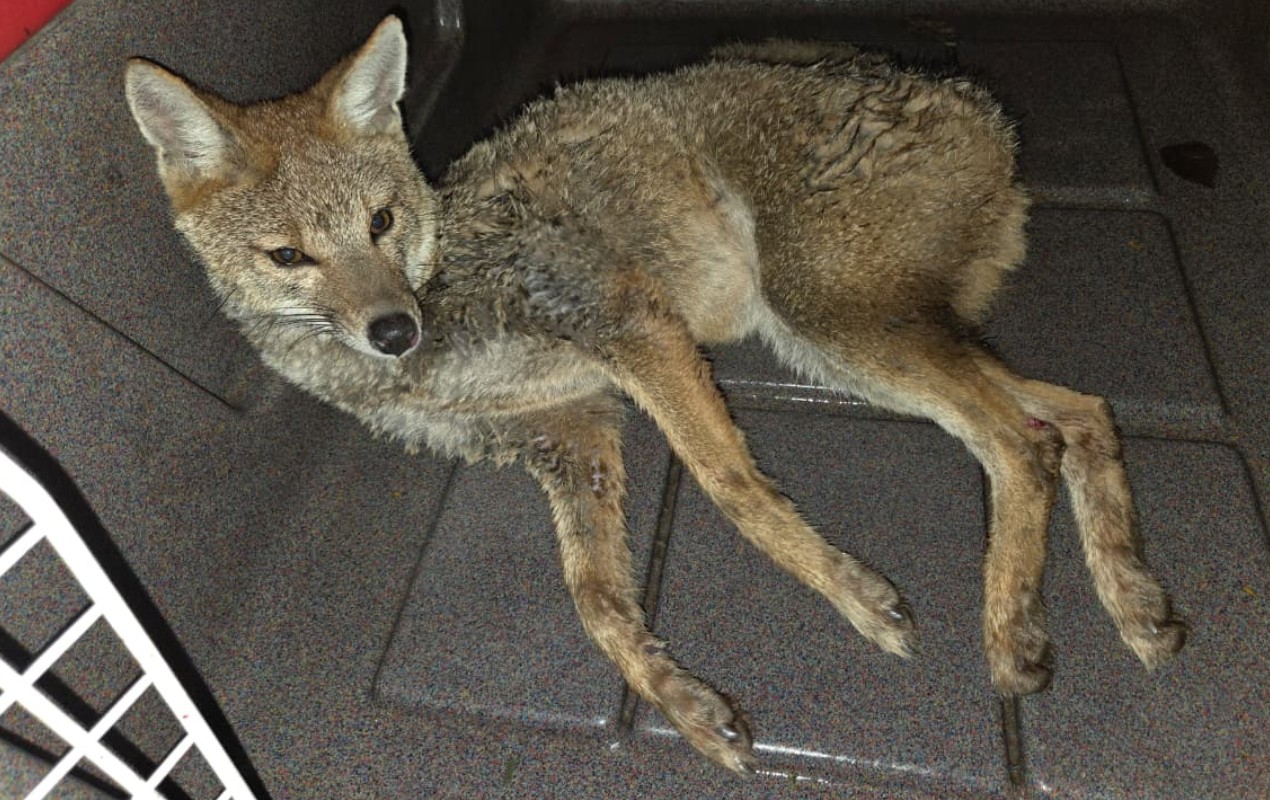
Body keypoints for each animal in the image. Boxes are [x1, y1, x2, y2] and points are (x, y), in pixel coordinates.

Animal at [124, 16, 1185, 772]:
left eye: (382, 222)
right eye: (288, 257)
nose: (394, 328)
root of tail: (970, 98)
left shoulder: (631, 326)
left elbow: (734, 489)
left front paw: (855, 598)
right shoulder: (572, 433)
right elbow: (597, 601)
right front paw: (685, 704)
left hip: (830, 326)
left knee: (1020, 440)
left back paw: (1013, 630)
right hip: (852, 342)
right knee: (1078, 414)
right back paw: (1133, 603)